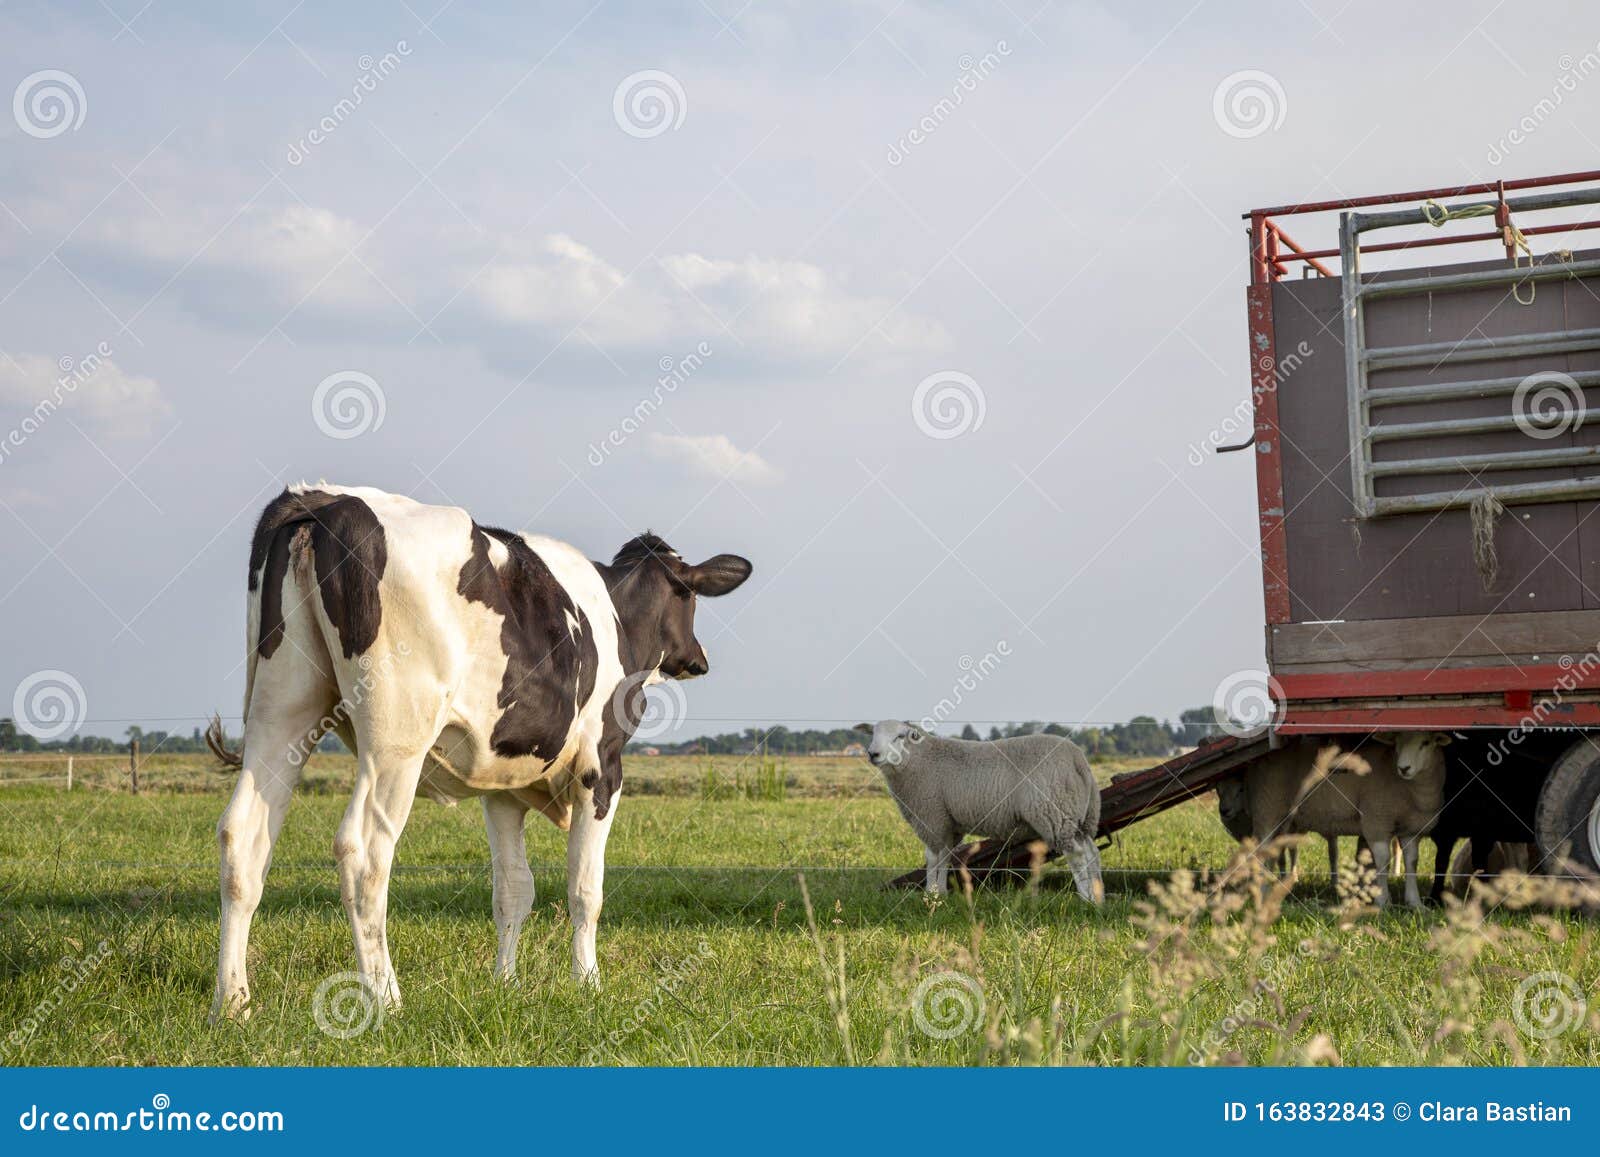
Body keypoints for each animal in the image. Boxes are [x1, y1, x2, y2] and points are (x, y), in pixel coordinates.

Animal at [211, 483, 748, 1017]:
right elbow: (585, 888)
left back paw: (233, 1001)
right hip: (395, 738)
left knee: (243, 838)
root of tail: (324, 499)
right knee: (362, 853)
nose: (698, 659)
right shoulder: (601, 769)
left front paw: (504, 982)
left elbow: (513, 890)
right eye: (689, 596)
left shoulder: (503, 788)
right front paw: (588, 983)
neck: (618, 614)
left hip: (282, 709)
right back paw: (386, 999)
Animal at [857, 723, 1107, 902]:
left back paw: (1086, 899)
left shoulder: (931, 817)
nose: (873, 753)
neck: (917, 760)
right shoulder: (949, 823)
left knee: (1077, 854)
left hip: (1055, 811)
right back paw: (1099, 897)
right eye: (873, 734)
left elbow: (932, 857)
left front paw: (930, 894)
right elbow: (946, 856)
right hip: (1081, 816)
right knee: (1091, 852)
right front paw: (942, 894)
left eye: (899, 736)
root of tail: (1078, 758)